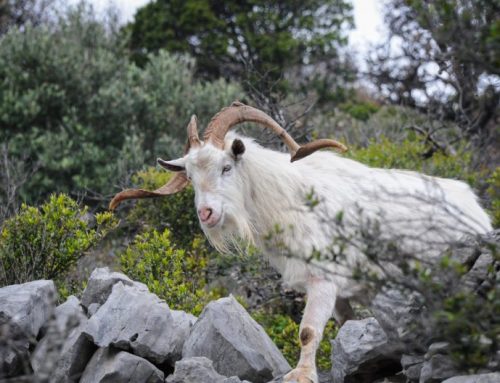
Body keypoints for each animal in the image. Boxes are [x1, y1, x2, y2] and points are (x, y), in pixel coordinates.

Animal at [110, 102, 492, 383]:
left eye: (226, 168)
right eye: (189, 176)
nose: (206, 213)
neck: (290, 197)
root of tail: (475, 207)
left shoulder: (323, 279)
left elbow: (308, 331)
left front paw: (302, 375)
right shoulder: (343, 292)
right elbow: (342, 329)